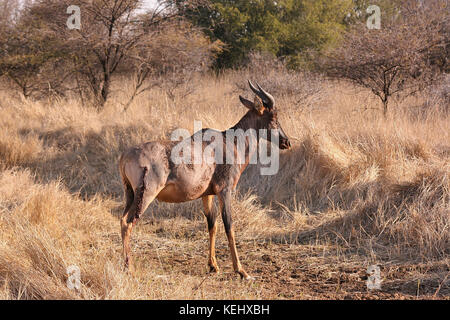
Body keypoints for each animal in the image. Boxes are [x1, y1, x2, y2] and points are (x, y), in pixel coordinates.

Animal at [118, 80, 292, 280]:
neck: (230, 142)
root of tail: (125, 156)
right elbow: (229, 225)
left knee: (122, 220)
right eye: (274, 118)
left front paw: (213, 266)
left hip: (130, 194)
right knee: (128, 223)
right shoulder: (225, 190)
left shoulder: (206, 194)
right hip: (146, 194)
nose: (286, 142)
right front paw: (241, 271)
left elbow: (212, 224)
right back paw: (129, 268)